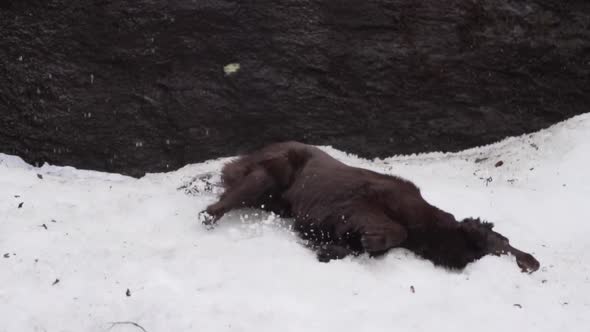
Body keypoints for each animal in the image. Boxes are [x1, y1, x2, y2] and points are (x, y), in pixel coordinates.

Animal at [202, 141, 540, 272]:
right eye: (503, 242)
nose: (533, 261)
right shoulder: (363, 201)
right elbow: (394, 230)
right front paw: (372, 239)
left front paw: (333, 250)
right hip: (274, 171)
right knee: (221, 202)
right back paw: (210, 214)